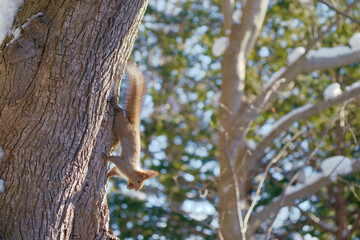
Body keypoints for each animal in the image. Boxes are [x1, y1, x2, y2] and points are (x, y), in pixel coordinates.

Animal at [104, 63, 160, 191]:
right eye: (139, 181)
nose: (135, 189)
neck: (131, 171)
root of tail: (133, 124)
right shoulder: (122, 163)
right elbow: (113, 159)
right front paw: (105, 157)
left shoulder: (118, 170)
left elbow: (112, 171)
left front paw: (107, 178)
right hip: (120, 123)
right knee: (119, 111)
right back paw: (115, 104)